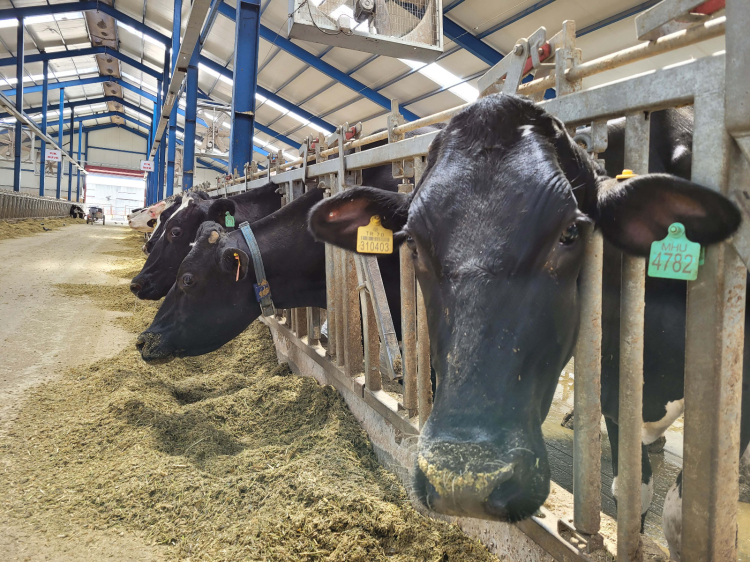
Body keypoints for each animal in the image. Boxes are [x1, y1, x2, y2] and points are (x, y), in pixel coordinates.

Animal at [306, 94, 741, 527]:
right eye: (411, 240)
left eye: (571, 232)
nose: (464, 481)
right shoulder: (617, 391)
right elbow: (632, 493)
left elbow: (675, 514)